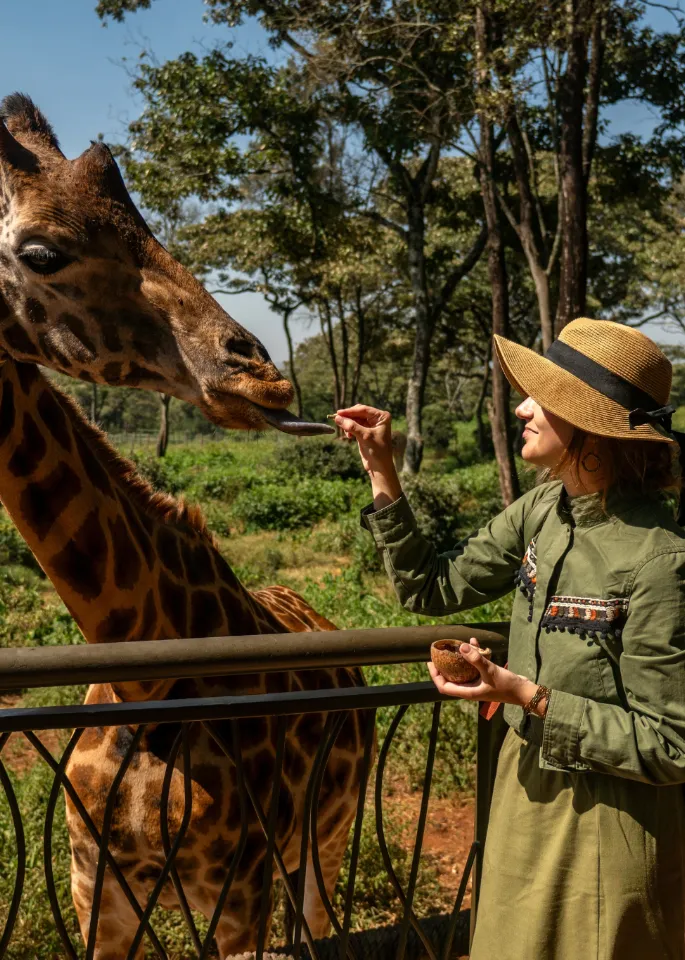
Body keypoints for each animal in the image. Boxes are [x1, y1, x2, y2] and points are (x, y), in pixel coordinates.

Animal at [0, 95, 372, 958]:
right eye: (41, 253)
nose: (262, 374)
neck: (144, 666)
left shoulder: (239, 892)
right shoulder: (93, 892)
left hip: (325, 840)